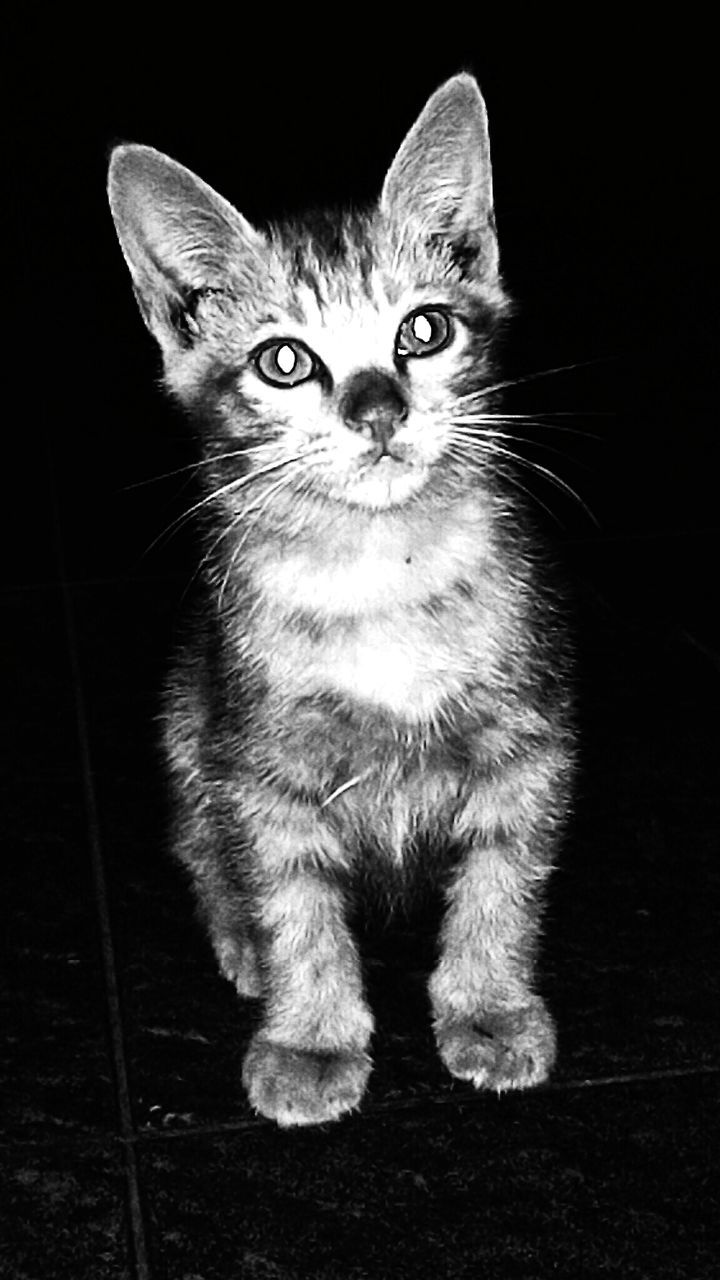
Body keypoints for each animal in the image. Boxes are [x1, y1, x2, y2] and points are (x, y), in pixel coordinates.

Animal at [106, 74, 573, 1126]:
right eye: (284, 361)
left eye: (424, 330)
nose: (378, 408)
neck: (379, 570)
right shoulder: (259, 767)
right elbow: (296, 905)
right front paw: (311, 1038)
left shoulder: (531, 738)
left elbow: (503, 880)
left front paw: (490, 1009)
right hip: (187, 717)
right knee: (202, 847)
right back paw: (237, 936)